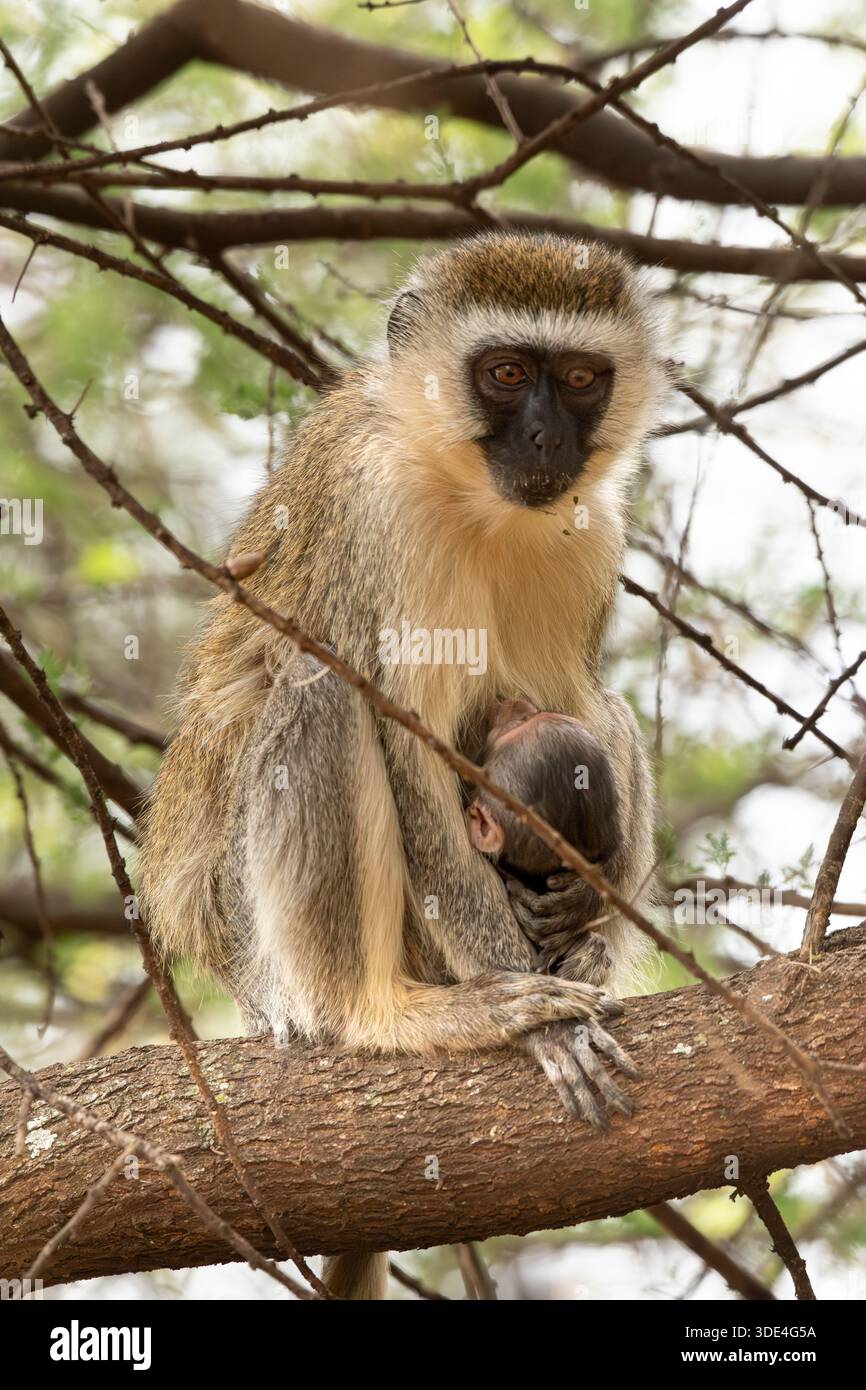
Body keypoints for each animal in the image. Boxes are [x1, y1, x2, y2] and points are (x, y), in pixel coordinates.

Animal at [138, 231, 667, 1299]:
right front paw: (543, 1026)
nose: (545, 443)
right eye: (505, 374)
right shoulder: (376, 508)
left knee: (609, 708)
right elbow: (402, 738)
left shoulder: (592, 528)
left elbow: (576, 708)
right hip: (261, 944)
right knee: (321, 694)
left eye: (579, 379)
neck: (465, 491)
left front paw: (586, 925)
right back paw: (381, 1015)